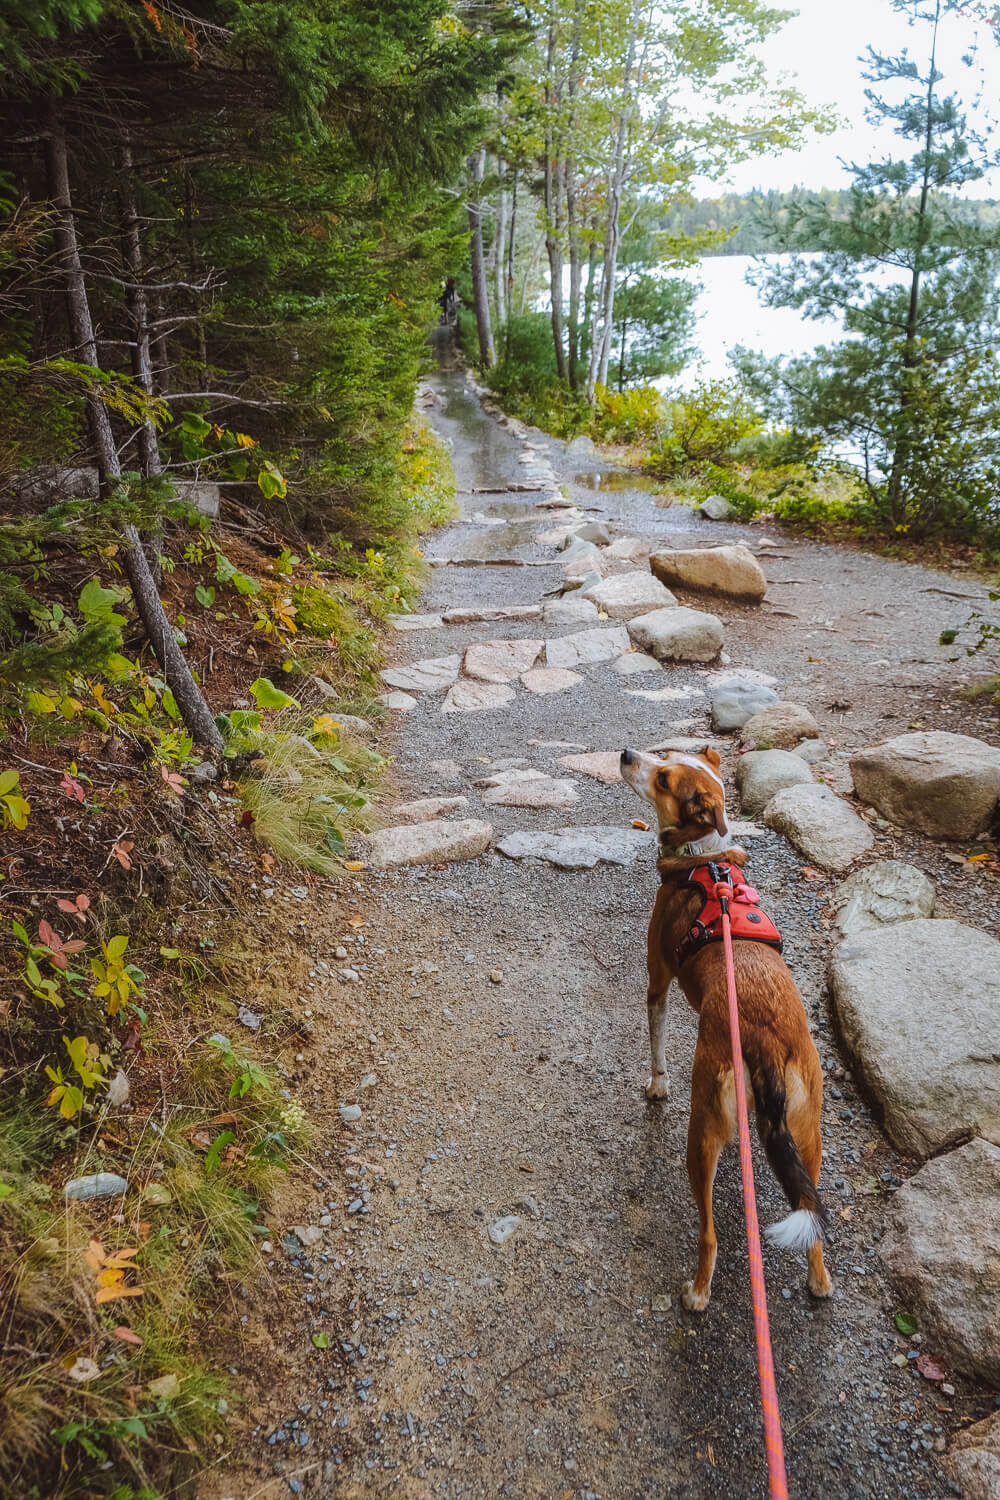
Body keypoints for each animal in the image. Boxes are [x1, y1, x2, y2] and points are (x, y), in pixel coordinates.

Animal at [620, 744, 833, 1308]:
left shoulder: (657, 979)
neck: (705, 857)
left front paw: (656, 1086)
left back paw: (697, 1292)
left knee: (709, 1232)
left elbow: (656, 1046)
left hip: (702, 1132)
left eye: (663, 776)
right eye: (665, 754)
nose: (625, 753)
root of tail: (766, 1044)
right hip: (808, 1135)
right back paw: (819, 1280)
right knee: (813, 1217)